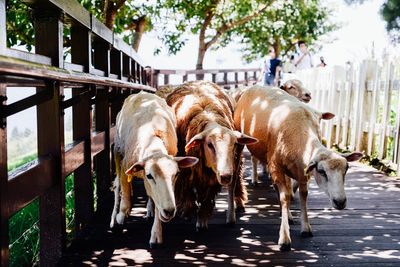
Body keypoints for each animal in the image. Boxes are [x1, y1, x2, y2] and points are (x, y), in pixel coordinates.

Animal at [109, 92, 198, 249]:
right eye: (149, 175)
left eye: (176, 174)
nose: (169, 211)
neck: (153, 142)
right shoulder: (126, 165)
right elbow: (124, 190)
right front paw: (121, 215)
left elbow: (157, 201)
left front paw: (156, 234)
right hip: (117, 151)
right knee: (117, 185)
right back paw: (115, 216)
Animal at [166, 80, 258, 231]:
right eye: (209, 144)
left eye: (234, 143)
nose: (226, 176)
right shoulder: (186, 170)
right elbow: (187, 191)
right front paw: (188, 210)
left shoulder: (214, 176)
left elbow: (207, 197)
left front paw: (202, 219)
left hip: (236, 164)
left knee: (236, 182)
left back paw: (236, 206)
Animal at [234, 87, 362, 252]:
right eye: (322, 171)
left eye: (346, 169)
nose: (340, 202)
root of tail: (253, 87)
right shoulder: (276, 167)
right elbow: (285, 197)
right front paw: (284, 238)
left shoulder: (303, 171)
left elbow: (303, 195)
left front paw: (305, 228)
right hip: (242, 140)